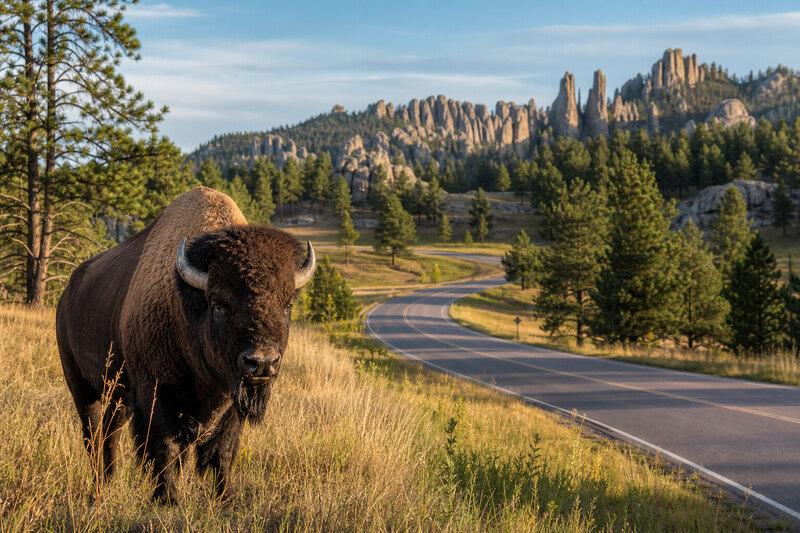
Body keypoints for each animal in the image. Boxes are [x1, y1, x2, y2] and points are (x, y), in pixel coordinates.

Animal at [56, 187, 315, 503]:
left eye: (287, 304)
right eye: (219, 304)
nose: (262, 362)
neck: (185, 303)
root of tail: (66, 294)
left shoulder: (231, 403)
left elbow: (222, 451)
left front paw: (226, 497)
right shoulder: (156, 391)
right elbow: (165, 446)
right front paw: (167, 498)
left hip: (120, 395)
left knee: (109, 432)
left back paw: (108, 482)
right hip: (80, 384)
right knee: (92, 434)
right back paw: (98, 489)